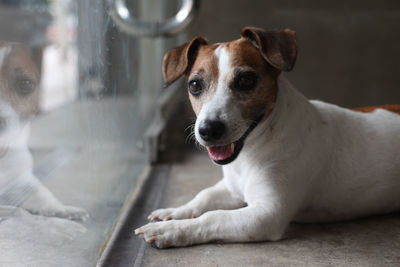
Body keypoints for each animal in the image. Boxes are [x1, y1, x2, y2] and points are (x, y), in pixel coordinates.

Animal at [136, 27, 400, 249]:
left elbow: (213, 216)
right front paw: (175, 212)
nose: (208, 130)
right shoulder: (230, 189)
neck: (251, 151)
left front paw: (170, 230)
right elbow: (204, 196)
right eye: (194, 85)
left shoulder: (267, 214)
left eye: (245, 80)